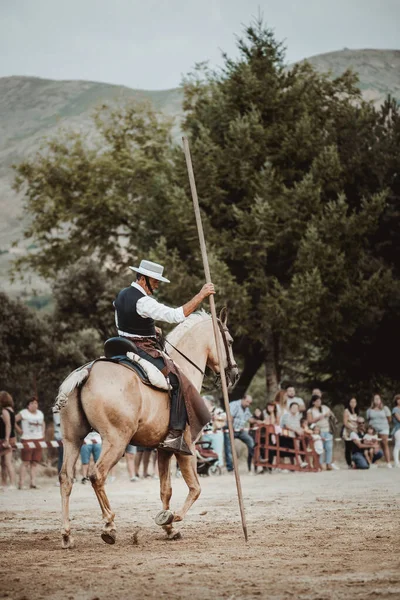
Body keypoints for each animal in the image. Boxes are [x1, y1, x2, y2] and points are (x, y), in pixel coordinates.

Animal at [55, 310, 238, 548]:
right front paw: (171, 518)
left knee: (66, 478)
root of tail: (87, 371)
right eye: (230, 341)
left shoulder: (164, 449)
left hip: (72, 440)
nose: (234, 375)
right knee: (97, 475)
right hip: (116, 441)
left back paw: (67, 534)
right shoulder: (186, 447)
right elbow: (195, 488)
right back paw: (109, 526)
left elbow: (166, 490)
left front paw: (170, 529)